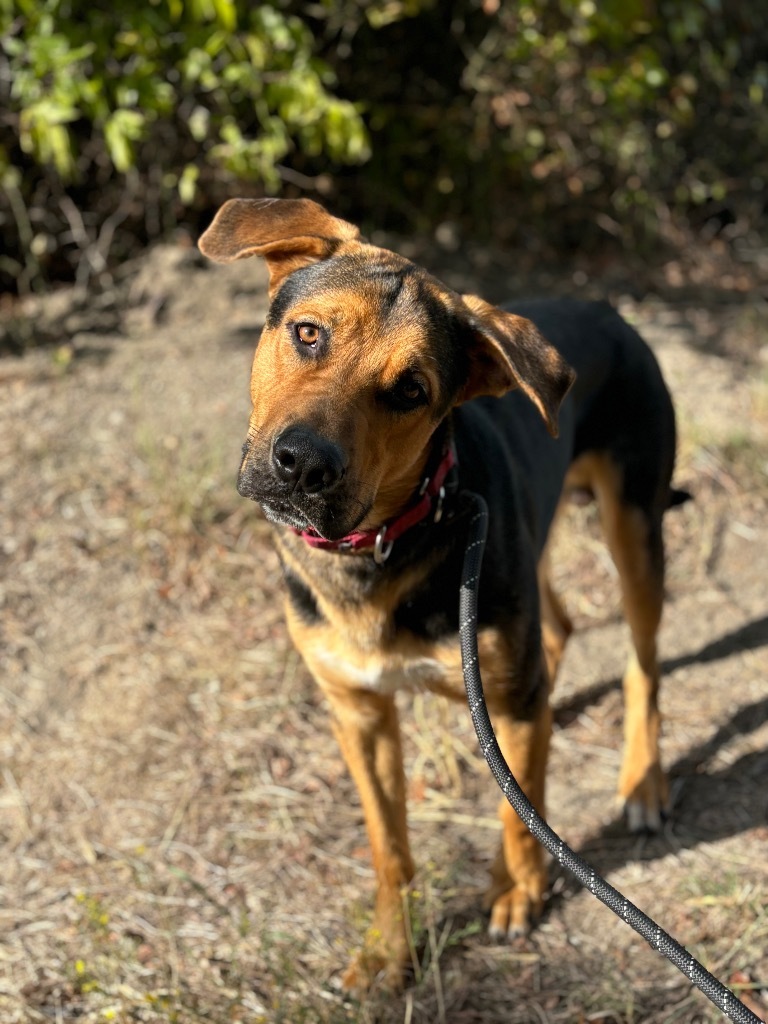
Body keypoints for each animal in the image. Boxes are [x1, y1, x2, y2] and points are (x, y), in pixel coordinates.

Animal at [196, 199, 684, 991]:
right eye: (308, 333)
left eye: (411, 392)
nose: (302, 466)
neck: (377, 545)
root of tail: (606, 307)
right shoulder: (359, 713)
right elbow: (389, 847)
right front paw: (388, 950)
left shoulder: (505, 701)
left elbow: (518, 813)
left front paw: (517, 891)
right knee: (559, 628)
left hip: (635, 529)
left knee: (643, 665)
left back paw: (642, 781)